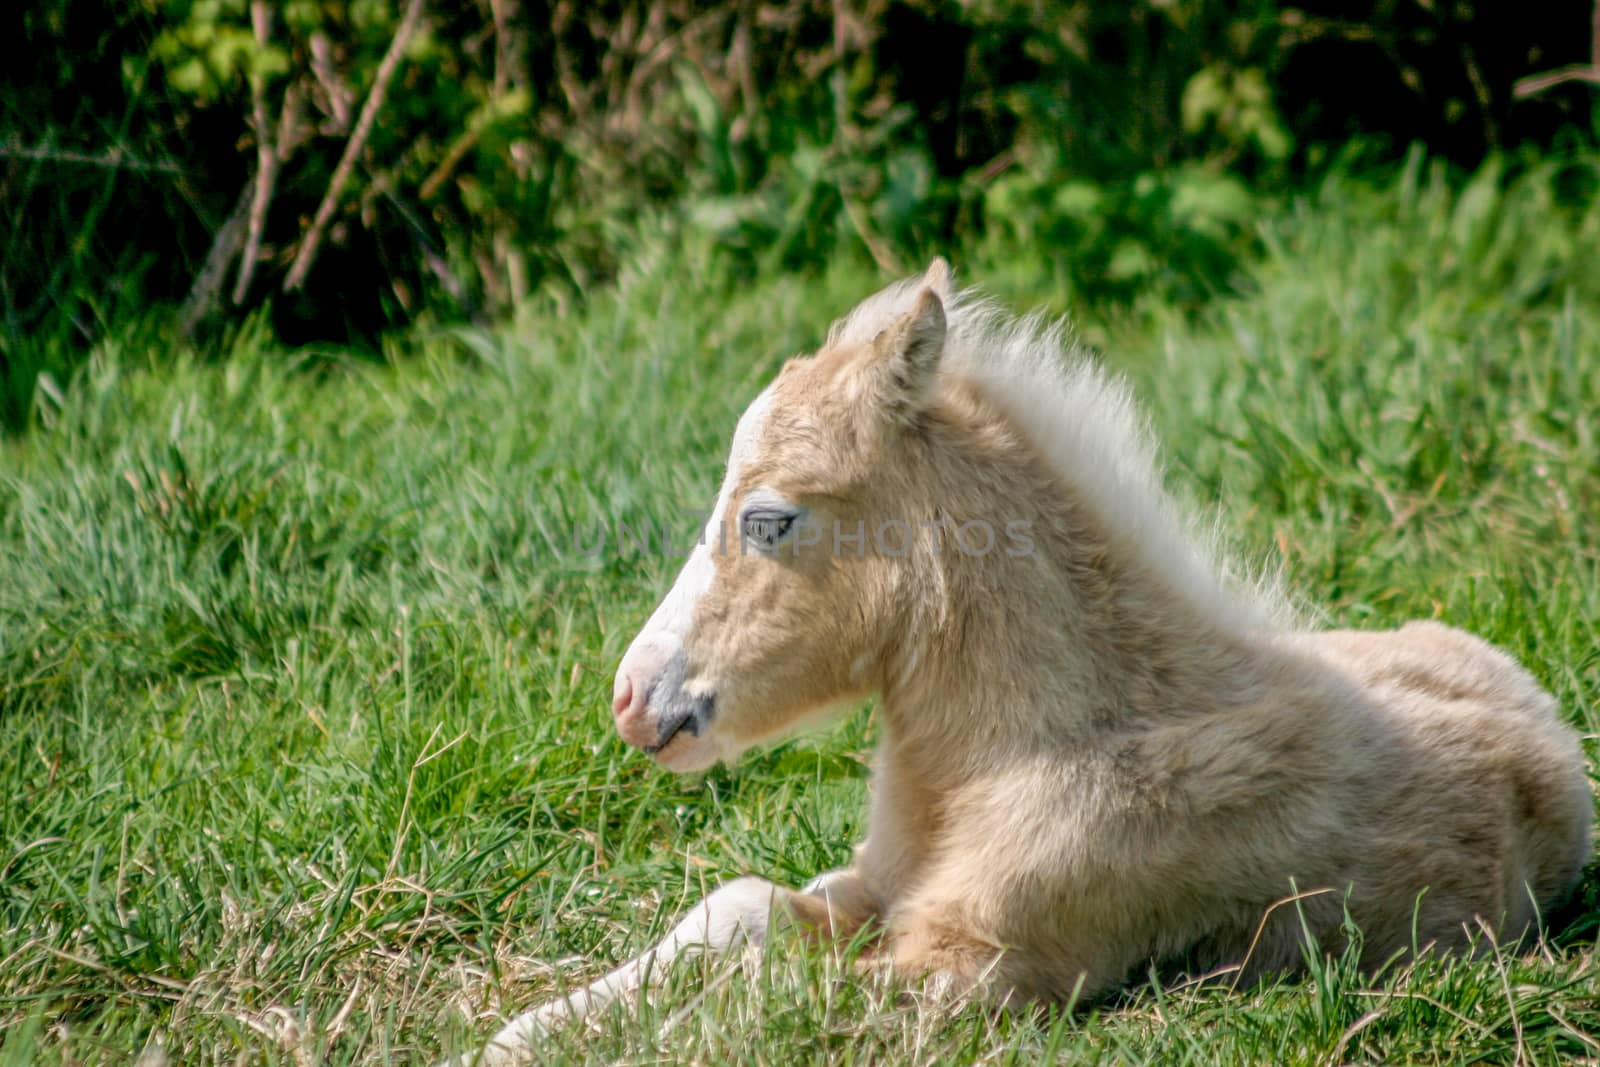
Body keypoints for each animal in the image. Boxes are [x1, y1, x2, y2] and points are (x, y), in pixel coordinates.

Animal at [460, 262, 1587, 1062]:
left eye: (769, 517)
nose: (630, 697)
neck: (1023, 747)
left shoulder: (967, 971)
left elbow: (765, 1006)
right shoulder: (881, 886)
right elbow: (736, 907)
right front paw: (518, 1033)